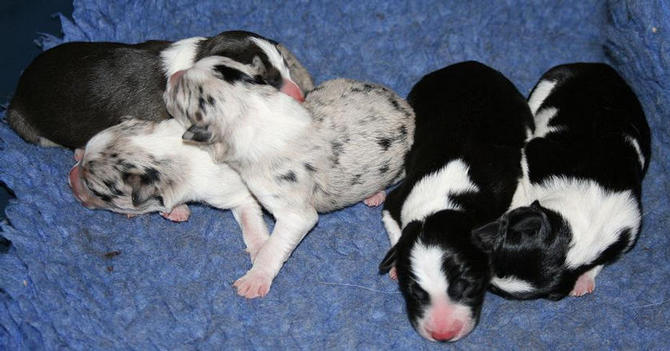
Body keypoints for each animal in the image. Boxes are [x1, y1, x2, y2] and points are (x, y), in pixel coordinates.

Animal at [163, 56, 418, 298]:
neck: (252, 107)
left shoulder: (294, 213)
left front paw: (254, 279)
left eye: (179, 94)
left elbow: (274, 246)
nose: (172, 75)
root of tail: (407, 107)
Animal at [380, 62, 532, 342]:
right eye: (415, 291)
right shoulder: (396, 201)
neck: (446, 203)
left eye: (468, 285)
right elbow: (395, 227)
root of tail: (469, 65)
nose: (443, 335)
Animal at [476, 62, 652, 300]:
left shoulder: (624, 234)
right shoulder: (531, 155)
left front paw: (584, 279)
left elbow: (599, 261)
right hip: (545, 86)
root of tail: (601, 66)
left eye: (494, 289)